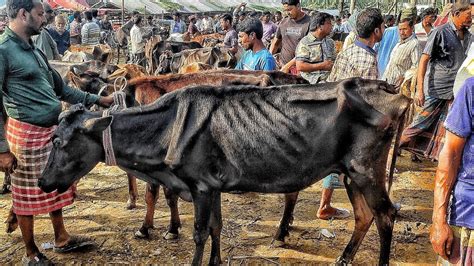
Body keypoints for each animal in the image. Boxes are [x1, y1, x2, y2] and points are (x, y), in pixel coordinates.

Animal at [39, 78, 412, 264]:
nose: (42, 182)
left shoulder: (200, 186)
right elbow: (217, 228)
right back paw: (343, 259)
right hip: (350, 172)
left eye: (58, 141)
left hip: (366, 170)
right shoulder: (212, 186)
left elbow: (200, 233)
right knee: (364, 216)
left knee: (386, 215)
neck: (165, 128)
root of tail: (395, 92)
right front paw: (216, 262)